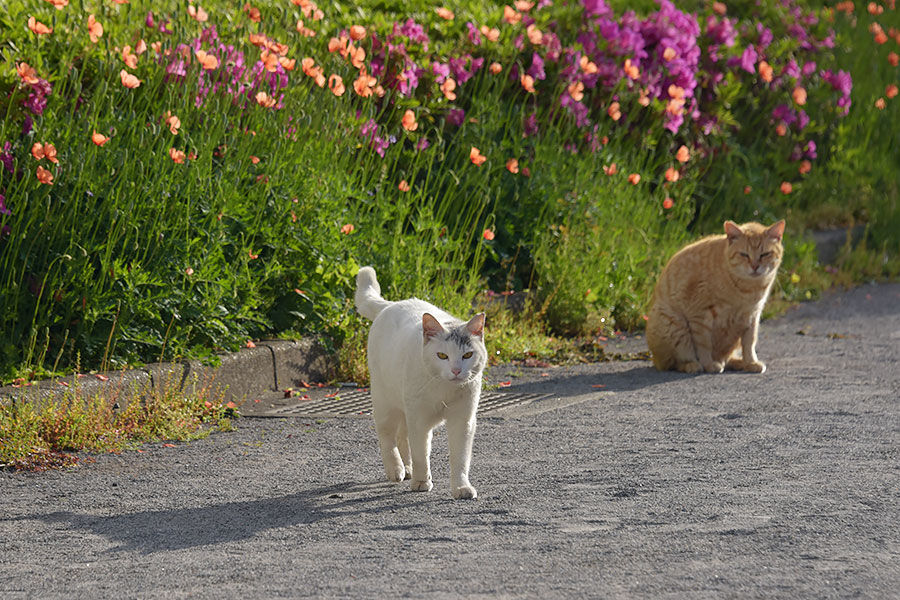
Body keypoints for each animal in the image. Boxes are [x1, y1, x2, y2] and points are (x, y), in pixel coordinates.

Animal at [356, 266, 488, 496]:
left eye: (467, 355)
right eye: (442, 356)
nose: (456, 370)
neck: (444, 390)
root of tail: (391, 304)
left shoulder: (463, 421)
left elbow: (460, 459)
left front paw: (461, 487)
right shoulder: (419, 419)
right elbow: (420, 454)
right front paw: (421, 481)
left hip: (405, 407)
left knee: (402, 436)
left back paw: (407, 469)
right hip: (386, 403)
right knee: (387, 437)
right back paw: (397, 469)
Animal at [644, 218, 784, 372]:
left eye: (765, 254)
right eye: (744, 254)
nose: (754, 266)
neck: (747, 289)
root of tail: (655, 359)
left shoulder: (752, 314)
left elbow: (749, 343)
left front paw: (751, 362)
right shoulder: (700, 314)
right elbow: (704, 344)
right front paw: (708, 364)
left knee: (727, 358)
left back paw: (738, 362)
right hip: (673, 324)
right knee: (674, 362)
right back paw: (692, 365)